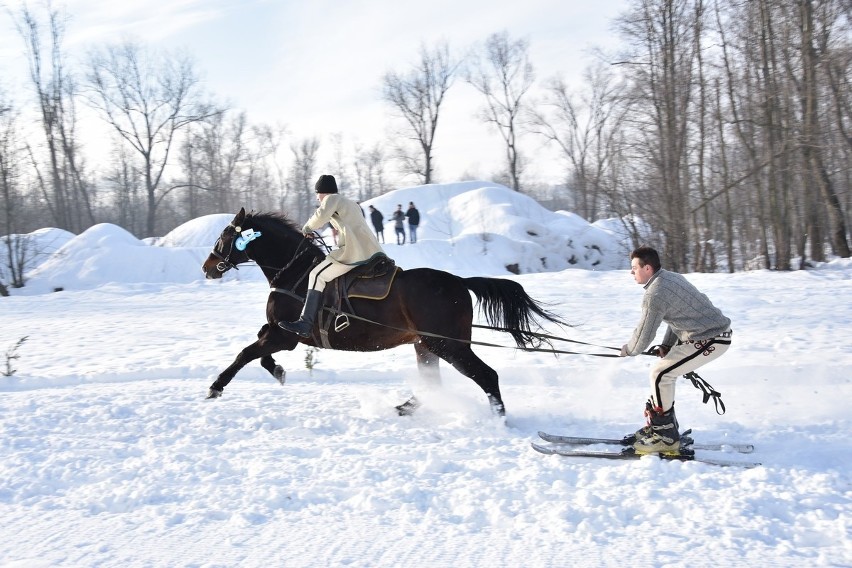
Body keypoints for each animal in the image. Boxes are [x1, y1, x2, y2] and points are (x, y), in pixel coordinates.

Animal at [203, 209, 568, 418]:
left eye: (224, 236)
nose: (208, 268)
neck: (296, 274)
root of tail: (459, 281)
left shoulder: (286, 334)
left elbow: (245, 353)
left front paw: (216, 387)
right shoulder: (278, 332)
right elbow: (258, 351)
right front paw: (277, 371)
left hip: (448, 345)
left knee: (486, 376)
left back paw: (498, 418)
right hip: (426, 344)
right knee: (433, 382)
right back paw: (405, 408)